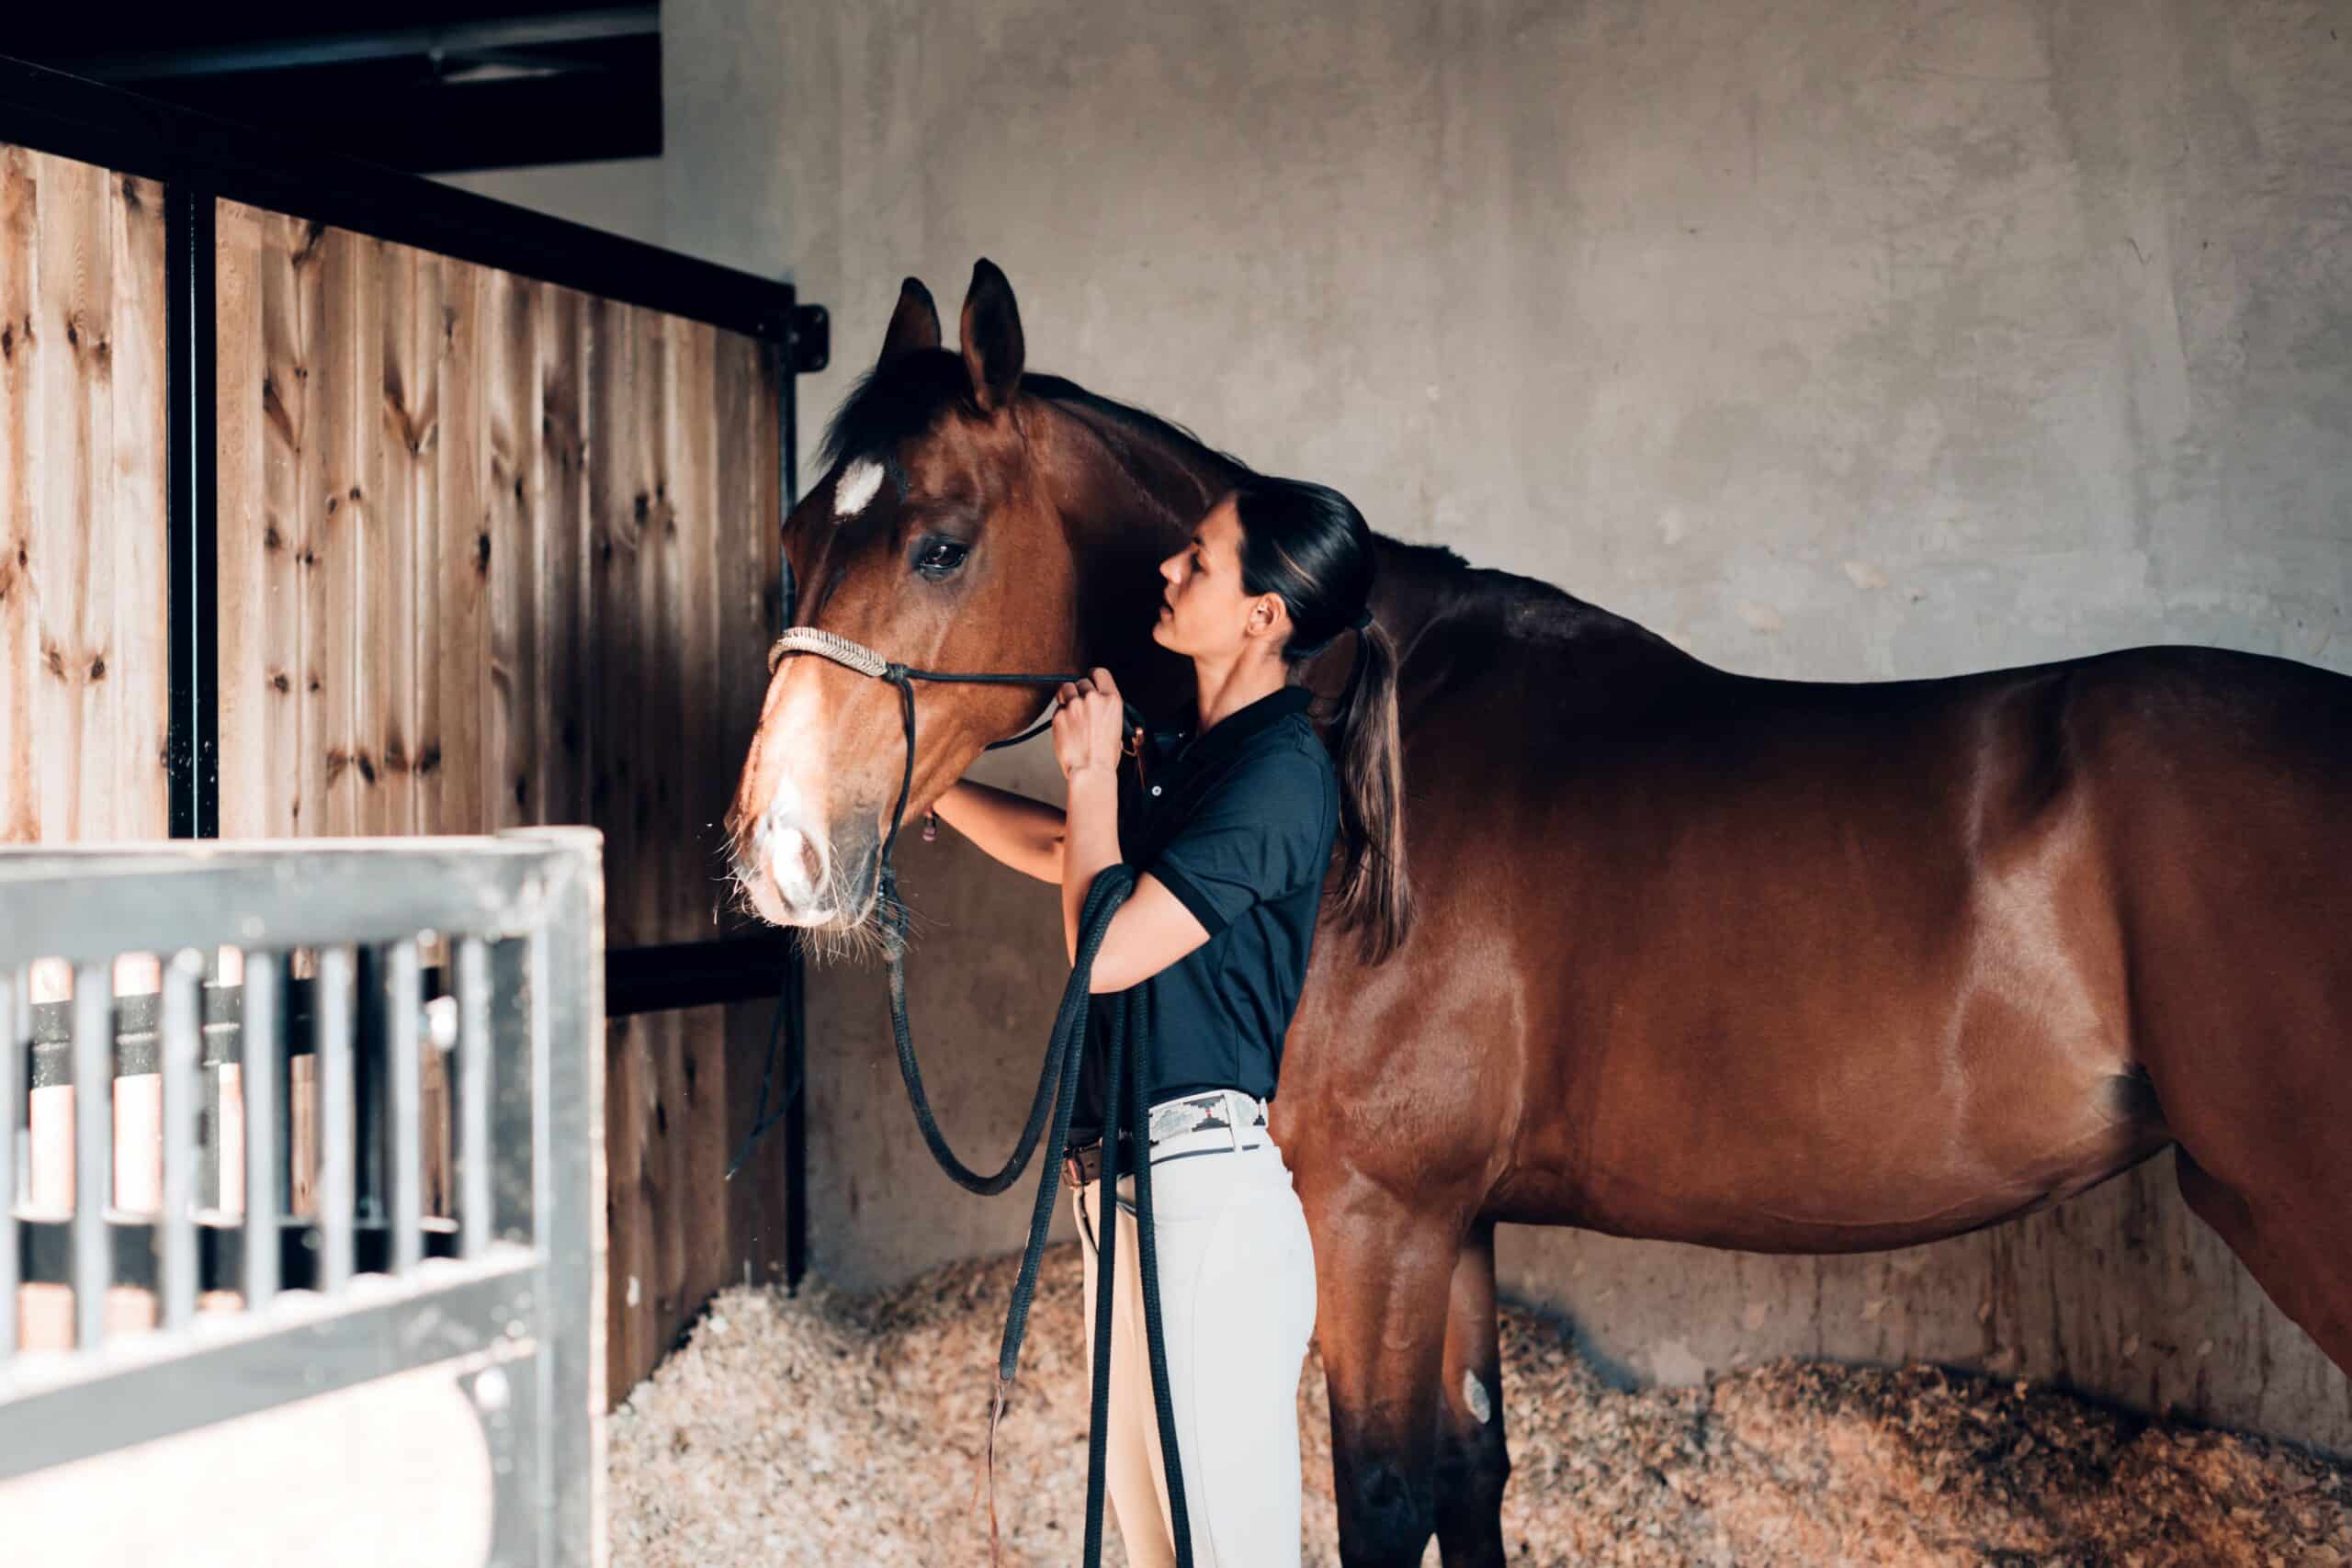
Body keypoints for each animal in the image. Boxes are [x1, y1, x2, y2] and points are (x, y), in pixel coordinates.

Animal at [724, 263, 2342, 1561]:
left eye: (940, 542)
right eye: (797, 538)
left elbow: (1381, 1498)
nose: (783, 849)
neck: (1364, 763)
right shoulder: (1456, 1218)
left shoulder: (1373, 1216)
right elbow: (1471, 1471)